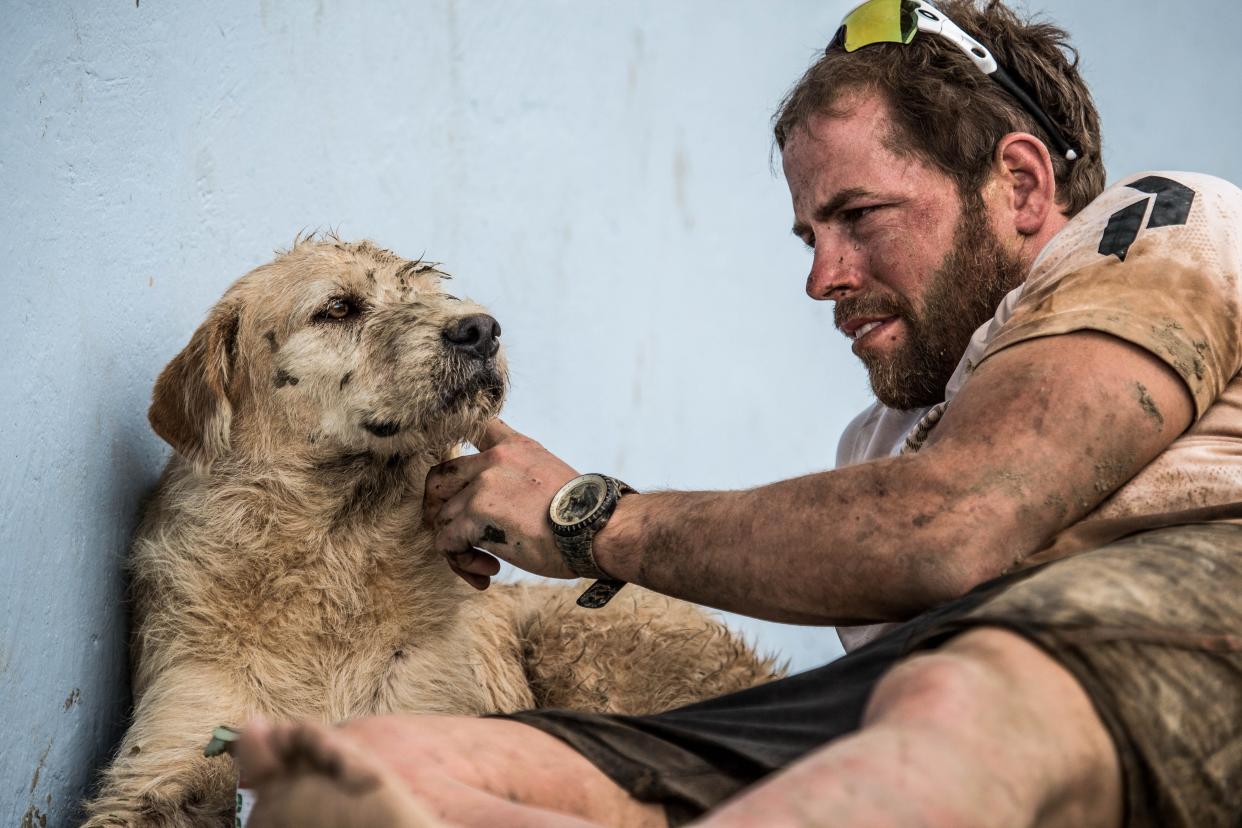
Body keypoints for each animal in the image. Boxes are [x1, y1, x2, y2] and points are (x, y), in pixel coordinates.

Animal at [87, 235, 779, 824]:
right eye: (337, 307)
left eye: (432, 291)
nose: (482, 329)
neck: (336, 541)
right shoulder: (169, 753)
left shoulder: (433, 717)